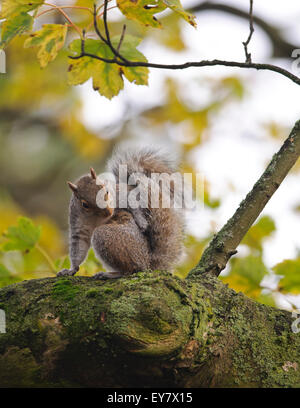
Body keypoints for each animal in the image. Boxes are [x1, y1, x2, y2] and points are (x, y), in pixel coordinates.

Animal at [56, 148, 183, 278]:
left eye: (106, 191)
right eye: (84, 204)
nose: (109, 213)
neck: (95, 217)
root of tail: (147, 264)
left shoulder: (119, 195)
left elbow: (132, 203)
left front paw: (141, 222)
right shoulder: (77, 221)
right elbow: (79, 245)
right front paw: (71, 269)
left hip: (107, 237)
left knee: (130, 270)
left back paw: (110, 274)